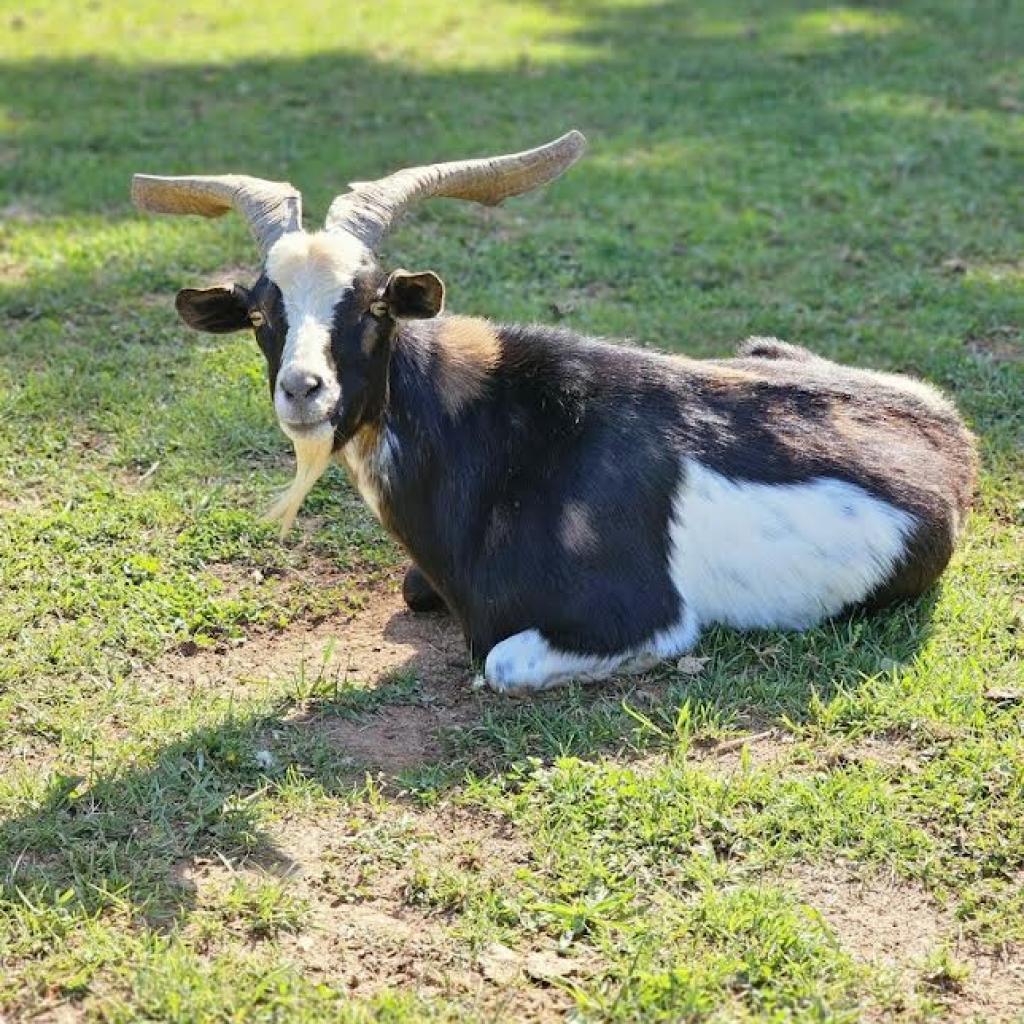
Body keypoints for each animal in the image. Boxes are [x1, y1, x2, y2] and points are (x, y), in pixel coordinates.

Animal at [132, 131, 977, 693]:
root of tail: (953, 431)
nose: (304, 390)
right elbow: (412, 590)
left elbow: (503, 660)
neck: (495, 437)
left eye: (374, 305)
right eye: (258, 313)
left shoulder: (641, 618)